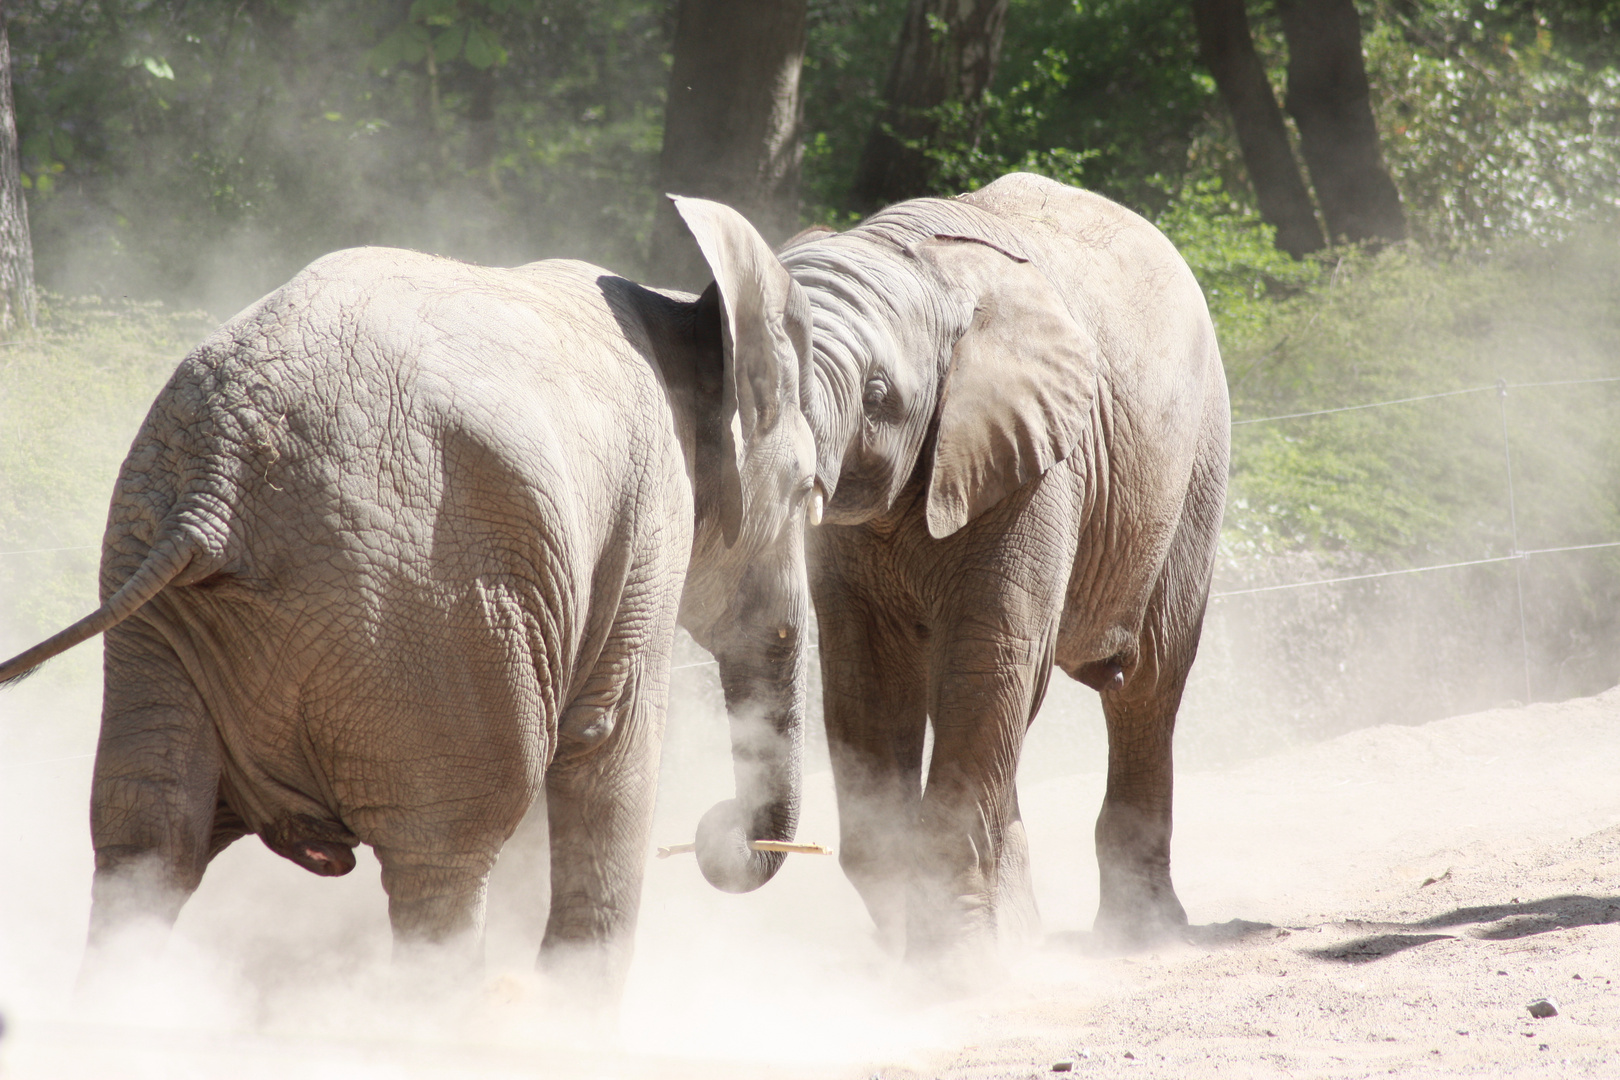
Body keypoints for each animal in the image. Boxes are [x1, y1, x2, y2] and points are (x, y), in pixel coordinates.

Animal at [0, 194, 816, 997]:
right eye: (809, 492)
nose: (718, 828)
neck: (688, 314)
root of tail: (214, 483)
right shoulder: (647, 523)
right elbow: (605, 746)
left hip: (159, 594)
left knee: (147, 834)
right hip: (426, 603)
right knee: (444, 850)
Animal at [680, 173, 1224, 965]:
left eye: (877, 396)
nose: (716, 820)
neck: (905, 255)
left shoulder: (1039, 460)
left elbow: (989, 659)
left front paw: (952, 966)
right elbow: (874, 683)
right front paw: (920, 946)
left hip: (1195, 466)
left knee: (1146, 685)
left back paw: (1139, 934)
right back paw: (1024, 938)